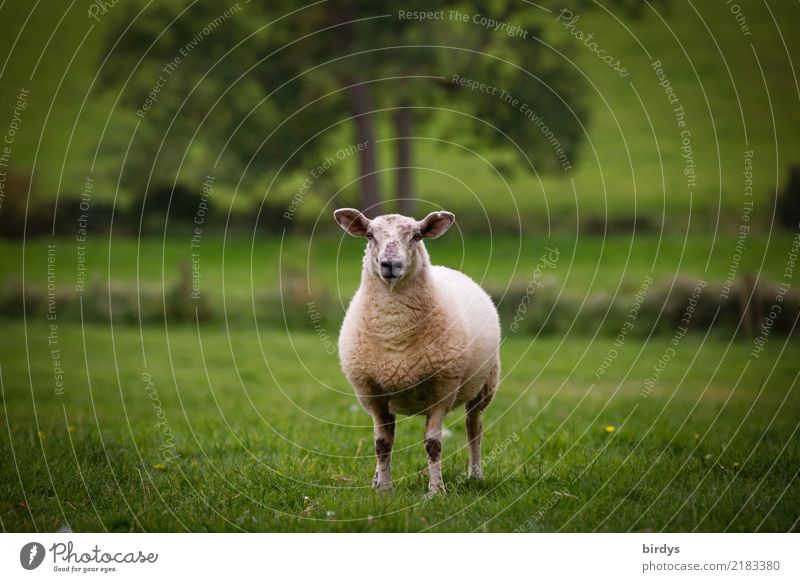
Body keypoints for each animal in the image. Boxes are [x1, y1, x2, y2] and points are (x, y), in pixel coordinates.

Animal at [332, 208, 500, 496]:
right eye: (369, 235)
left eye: (417, 236)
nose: (389, 264)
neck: (395, 331)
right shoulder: (373, 393)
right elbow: (382, 444)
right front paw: (383, 490)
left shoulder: (442, 389)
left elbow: (433, 444)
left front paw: (436, 491)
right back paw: (375, 480)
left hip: (484, 385)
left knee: (474, 428)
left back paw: (475, 475)